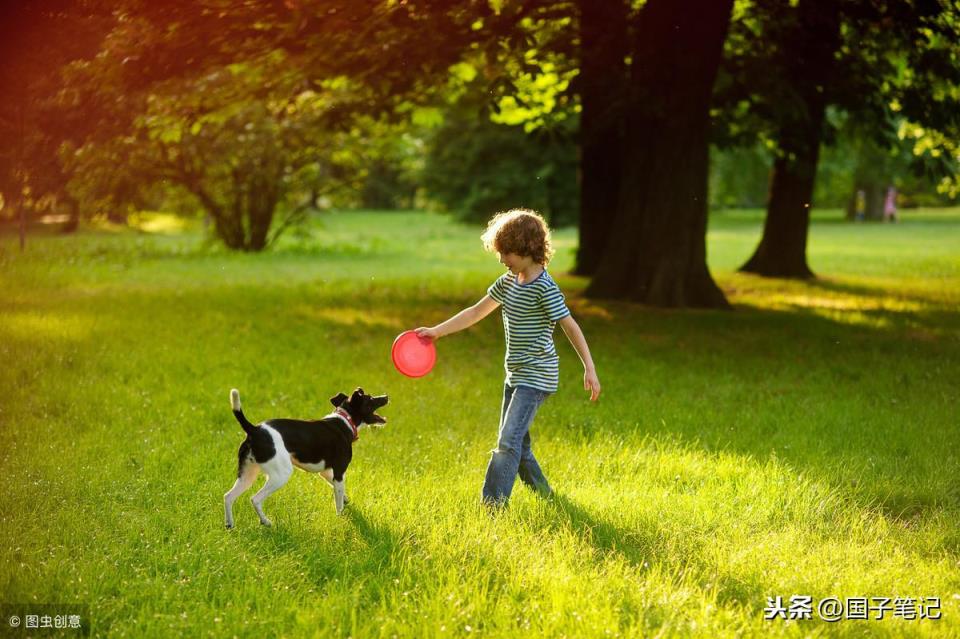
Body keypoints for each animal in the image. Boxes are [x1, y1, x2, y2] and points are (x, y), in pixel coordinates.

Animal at [224, 388, 386, 528]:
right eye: (370, 399)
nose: (386, 396)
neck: (345, 421)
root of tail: (254, 430)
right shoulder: (339, 472)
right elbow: (338, 500)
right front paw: (341, 517)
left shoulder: (326, 472)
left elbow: (339, 490)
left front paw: (346, 500)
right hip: (280, 475)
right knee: (255, 499)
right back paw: (266, 522)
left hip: (247, 475)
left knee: (228, 496)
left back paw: (230, 525)